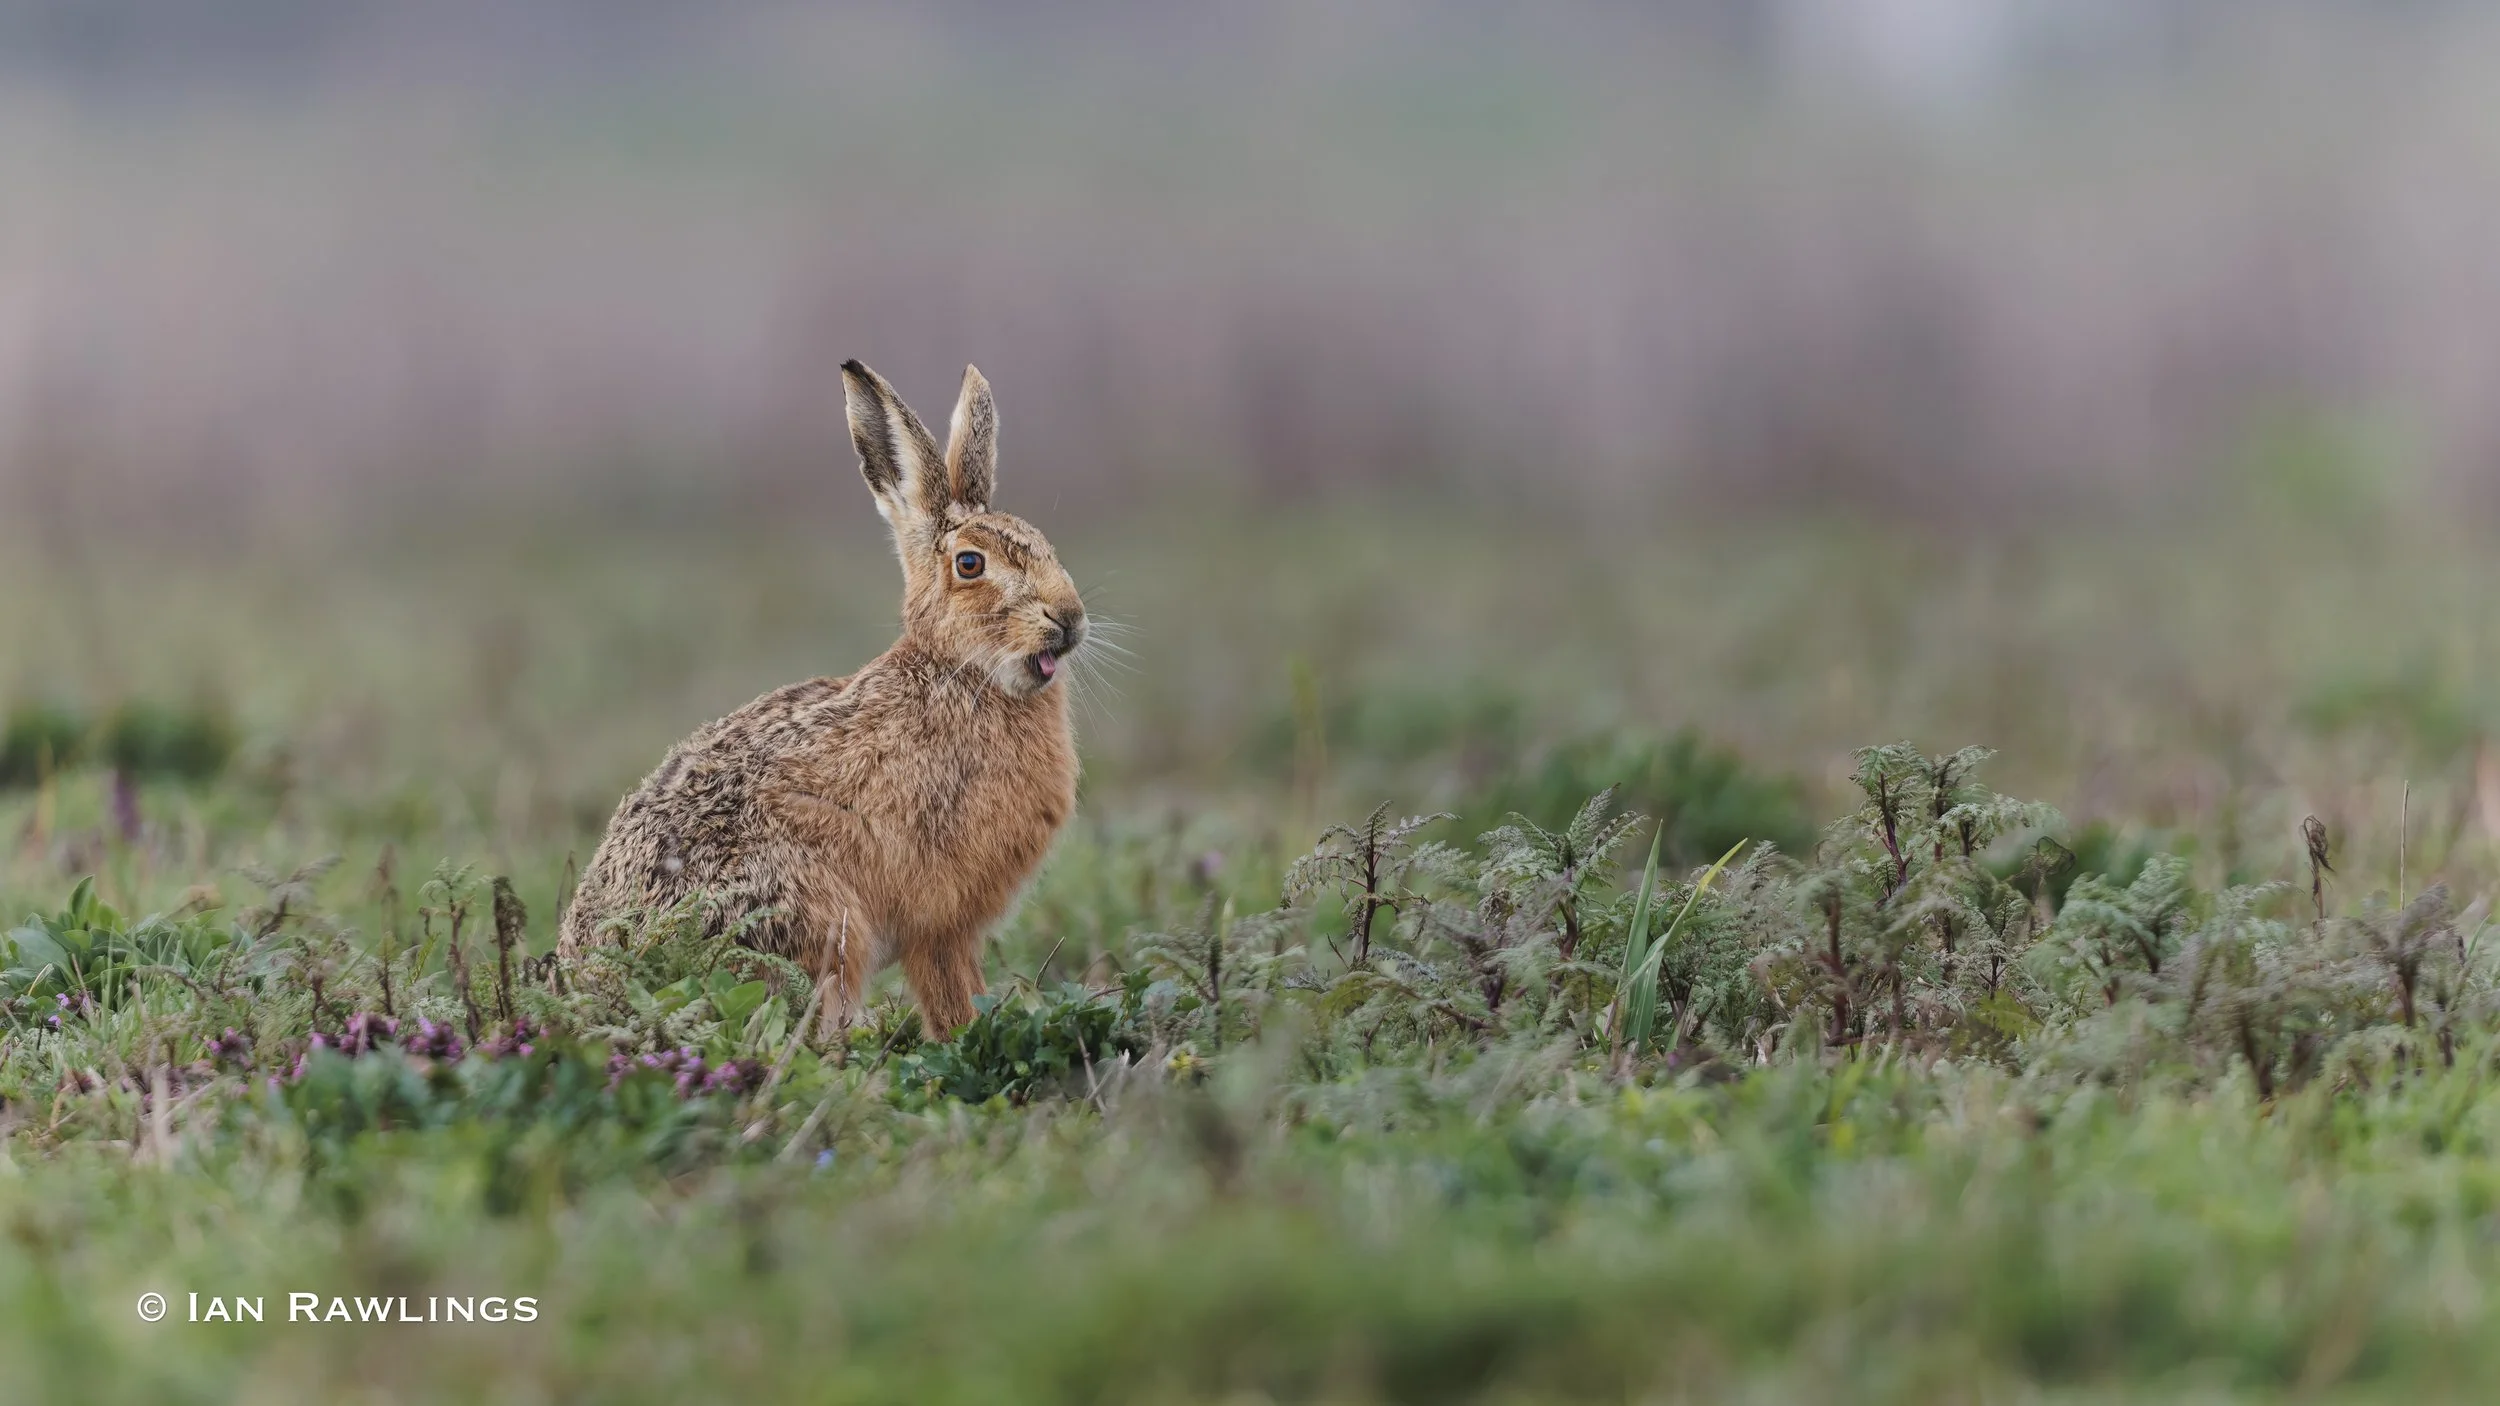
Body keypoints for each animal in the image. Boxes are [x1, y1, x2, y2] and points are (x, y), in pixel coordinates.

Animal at [558, 360, 1087, 1036]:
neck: (961, 674)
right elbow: (952, 994)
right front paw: (966, 1037)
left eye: (1045, 544)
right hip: (809, 916)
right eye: (971, 564)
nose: (1070, 618)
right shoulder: (939, 923)